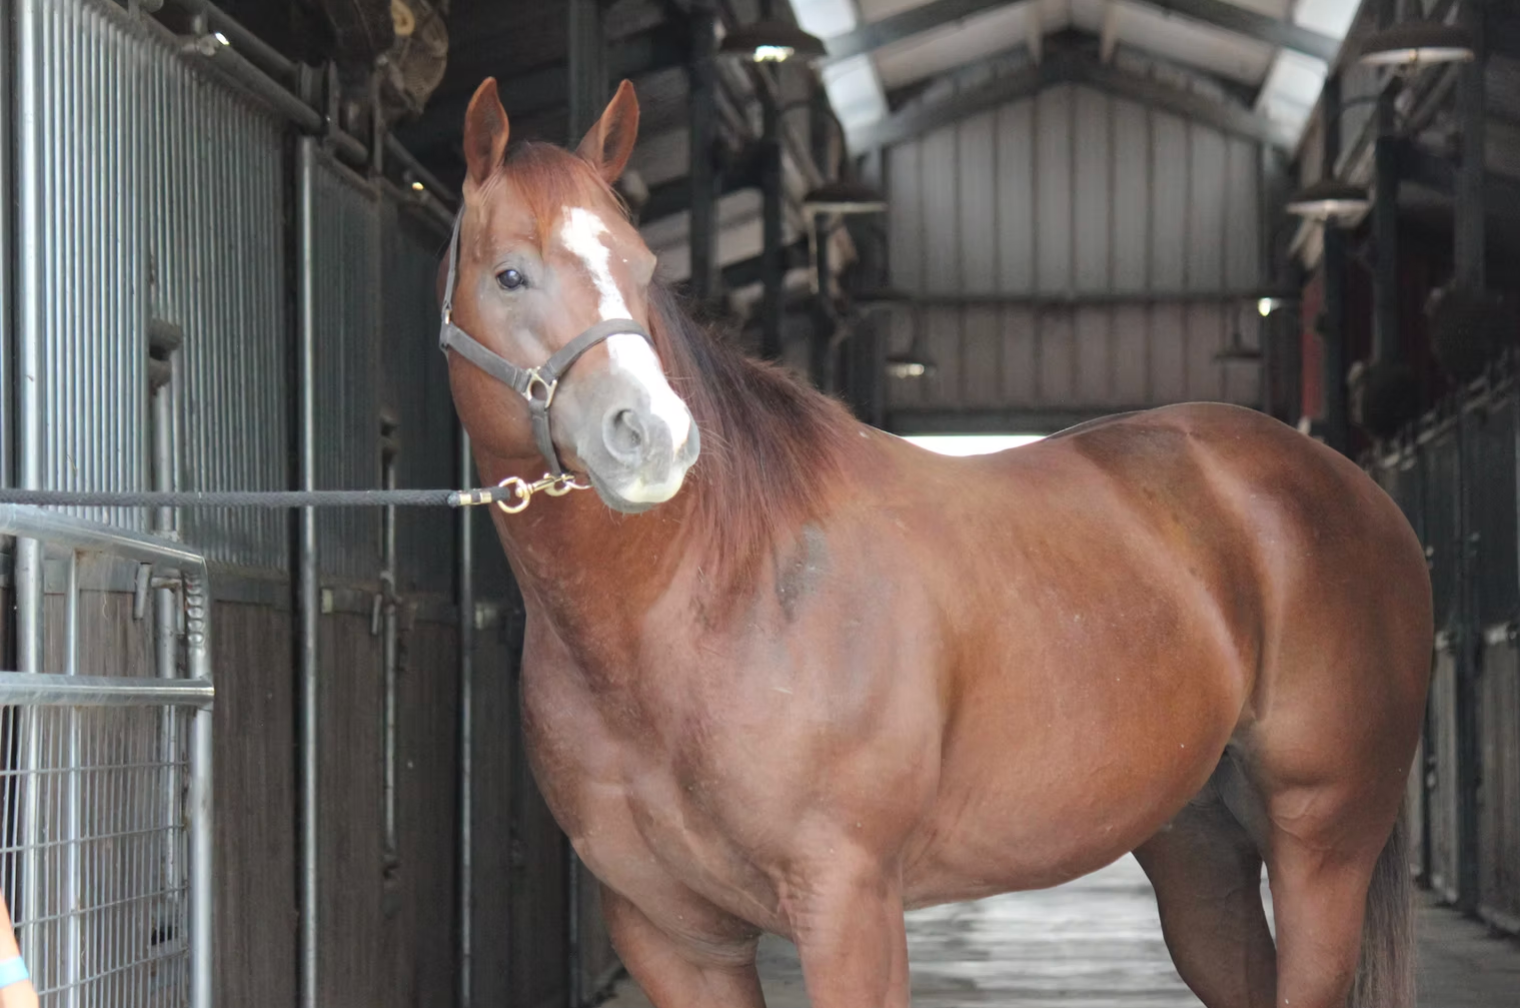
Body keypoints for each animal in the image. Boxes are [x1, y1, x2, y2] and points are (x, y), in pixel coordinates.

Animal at [440, 76, 1433, 1008]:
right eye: (509, 276)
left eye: (644, 269)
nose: (652, 437)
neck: (707, 602)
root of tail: (1360, 492)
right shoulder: (672, 938)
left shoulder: (849, 905)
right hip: (1201, 849)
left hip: (1322, 841)